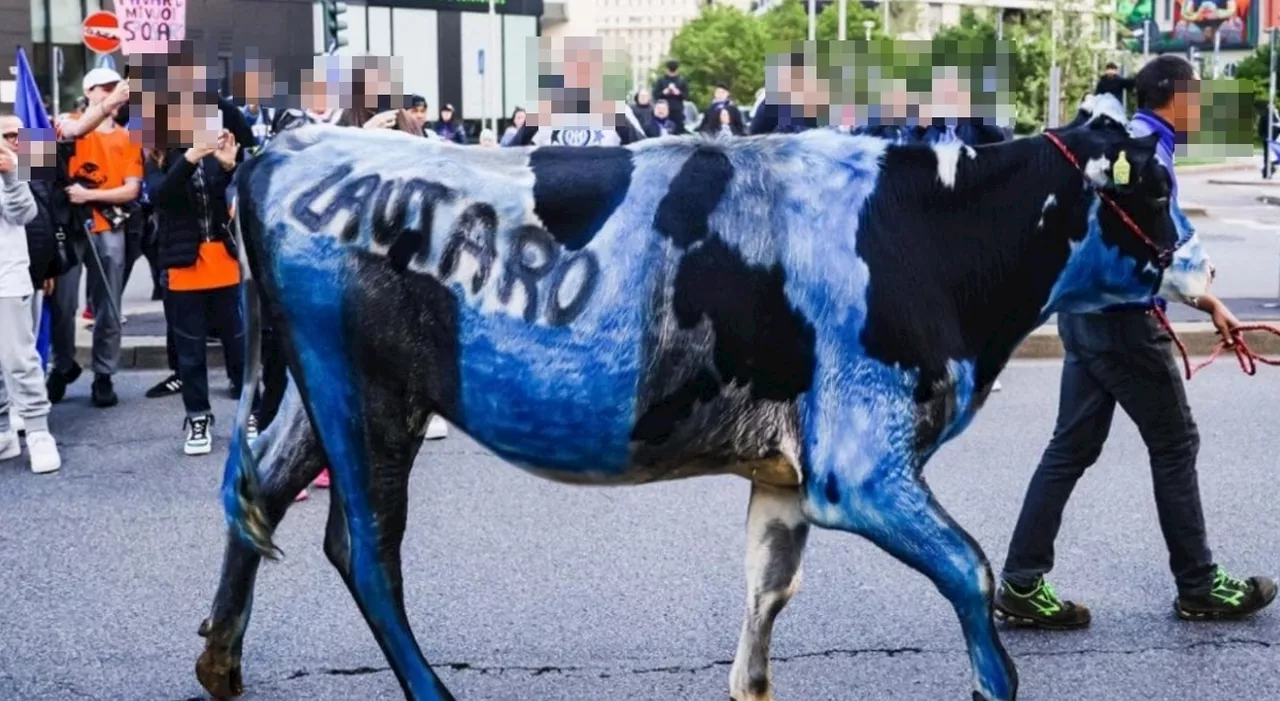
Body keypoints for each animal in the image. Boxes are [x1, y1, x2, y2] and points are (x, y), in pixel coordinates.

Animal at [197, 94, 1208, 701]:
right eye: (1156, 185)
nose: (1194, 260)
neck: (923, 239)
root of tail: (283, 146)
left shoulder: (788, 474)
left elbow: (768, 592)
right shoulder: (858, 464)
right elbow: (970, 566)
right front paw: (993, 681)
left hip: (322, 394)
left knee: (262, 493)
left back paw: (219, 658)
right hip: (367, 391)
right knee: (362, 548)